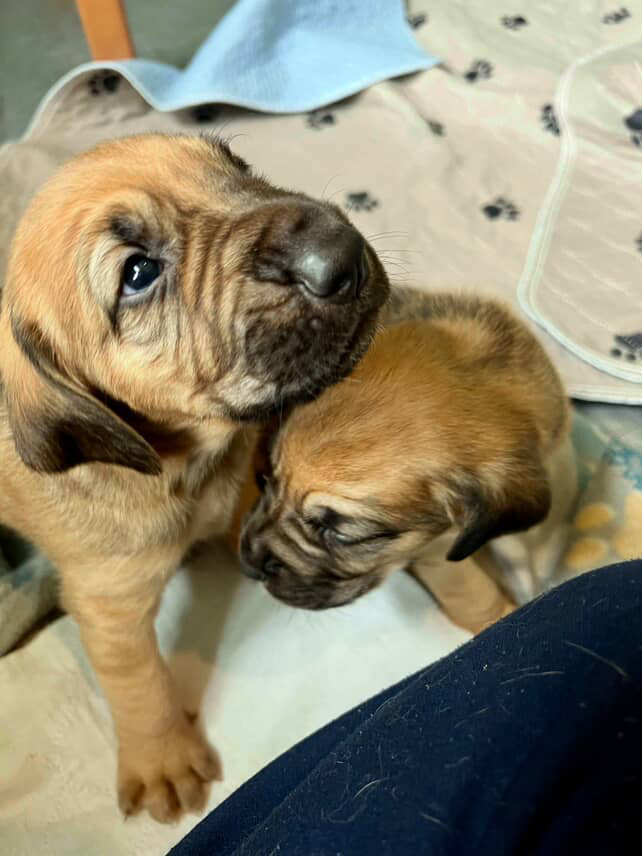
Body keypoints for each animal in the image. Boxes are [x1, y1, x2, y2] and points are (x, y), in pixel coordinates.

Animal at [0, 133, 389, 821]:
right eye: (137, 273)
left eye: (235, 166)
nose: (339, 252)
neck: (187, 460)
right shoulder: (107, 598)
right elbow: (138, 678)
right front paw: (161, 759)